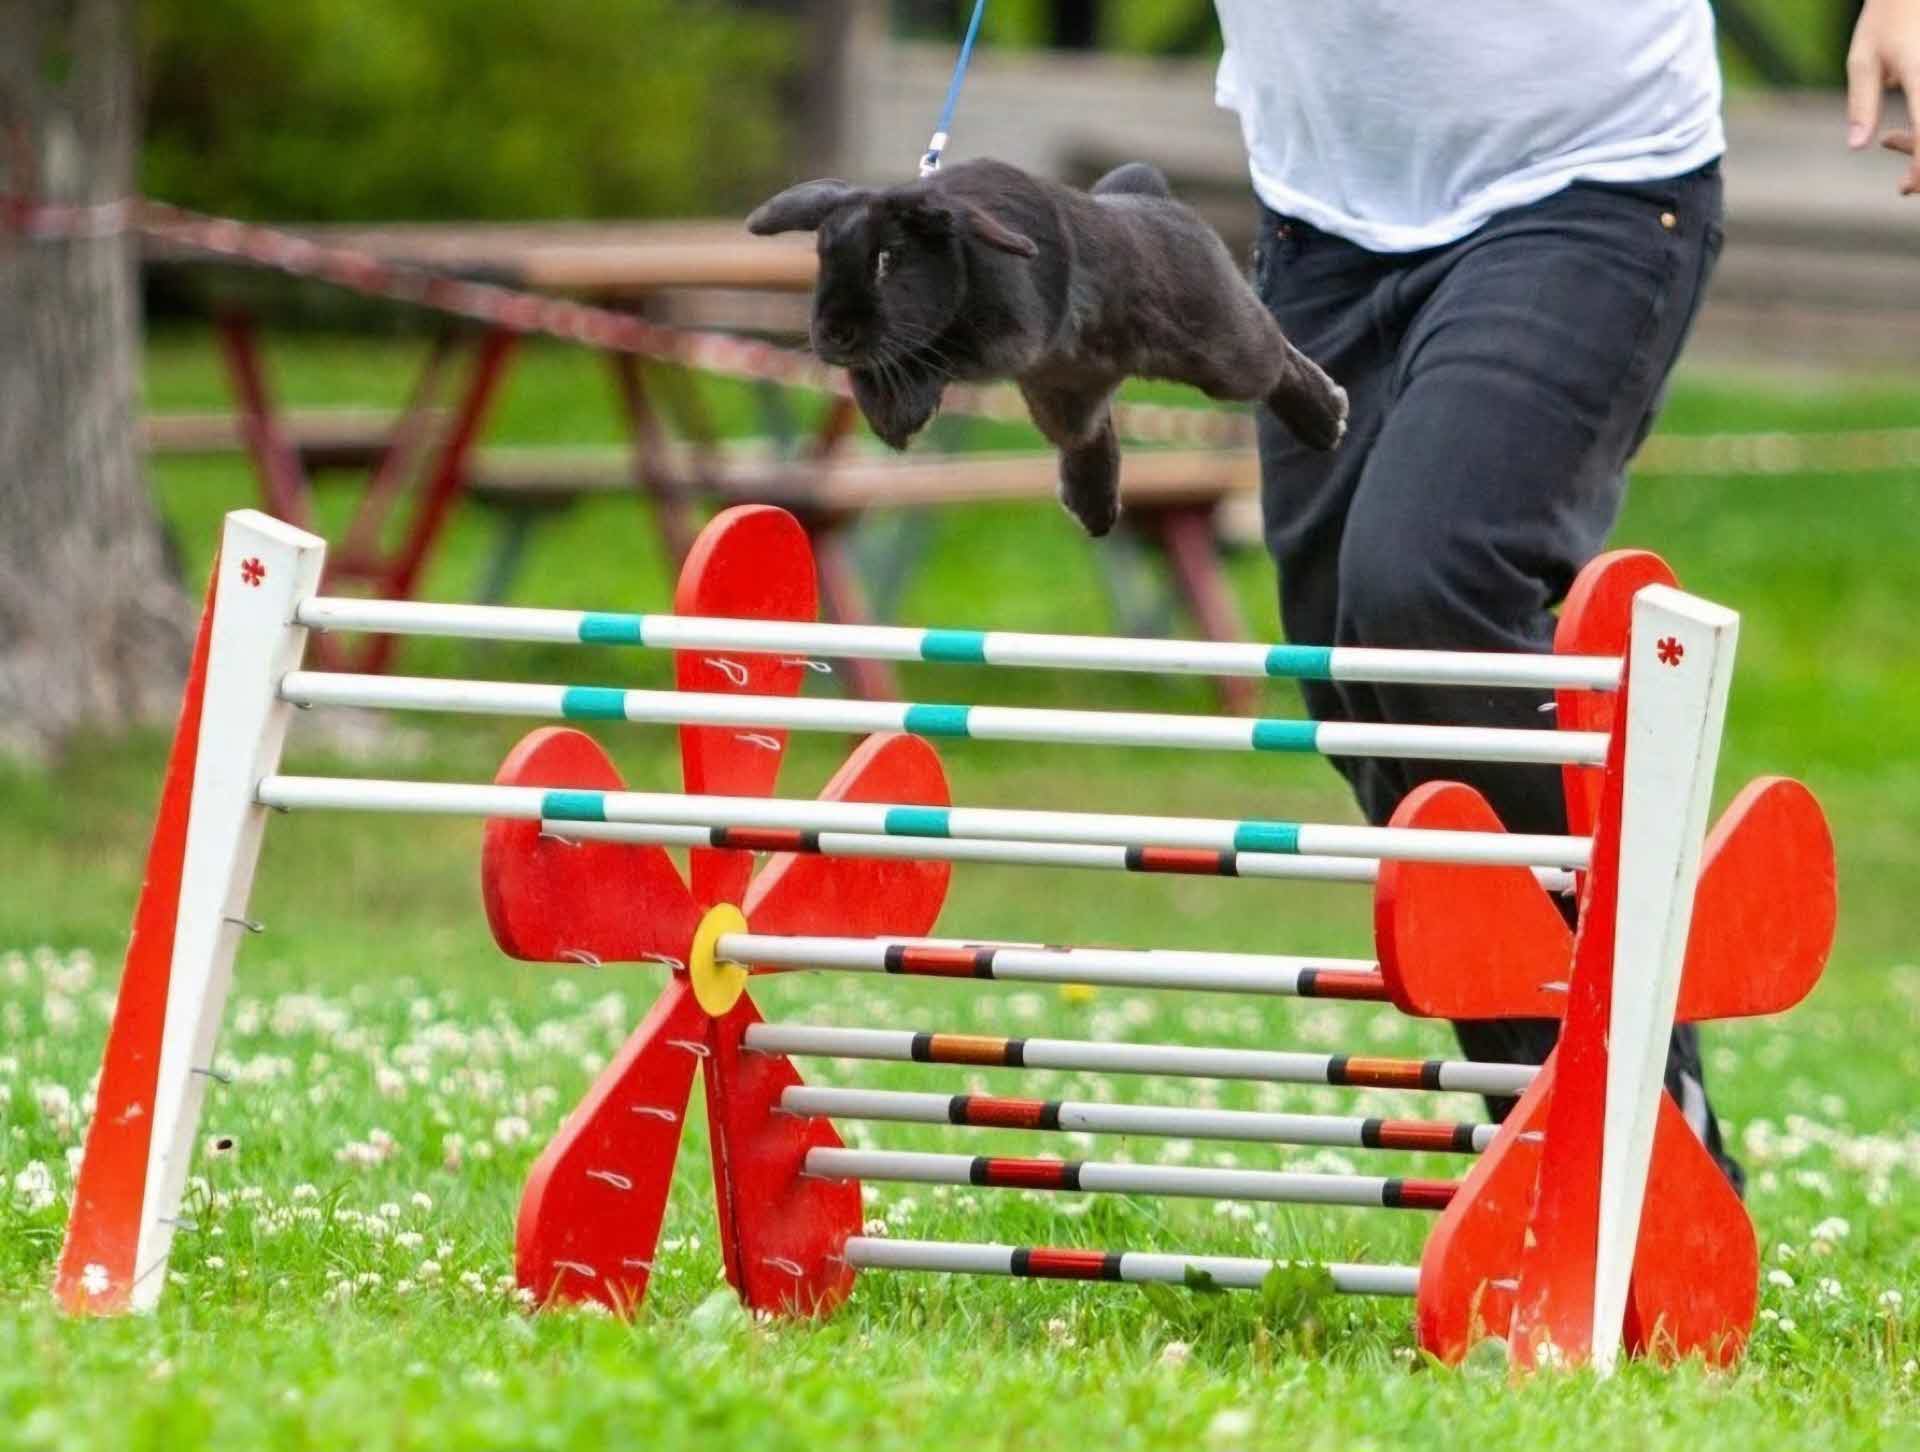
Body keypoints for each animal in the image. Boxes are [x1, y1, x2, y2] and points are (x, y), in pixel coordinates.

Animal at [741, 155, 1344, 537]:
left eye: (886, 259)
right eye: (821, 256)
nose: (832, 333)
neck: (960, 264)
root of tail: (1156, 200)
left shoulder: (1010, 337)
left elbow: (938, 353)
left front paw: (907, 411)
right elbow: (884, 367)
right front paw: (892, 420)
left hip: (1223, 353)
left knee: (1275, 359)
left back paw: (1328, 417)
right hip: (1061, 396)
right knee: (1090, 432)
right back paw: (1093, 511)